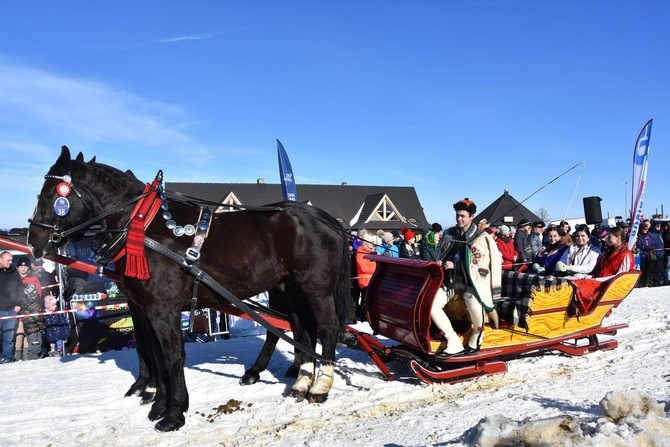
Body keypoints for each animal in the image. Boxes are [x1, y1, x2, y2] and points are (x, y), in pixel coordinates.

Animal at [26, 146, 352, 430]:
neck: (143, 226)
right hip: (290, 289)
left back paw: (320, 385)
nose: (33, 241)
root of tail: (324, 218)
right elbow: (155, 354)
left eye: (49, 193)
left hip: (316, 288)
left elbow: (171, 357)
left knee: (326, 328)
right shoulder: (145, 307)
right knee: (300, 330)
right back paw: (299, 381)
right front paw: (158, 403)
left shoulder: (162, 309)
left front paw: (173, 414)